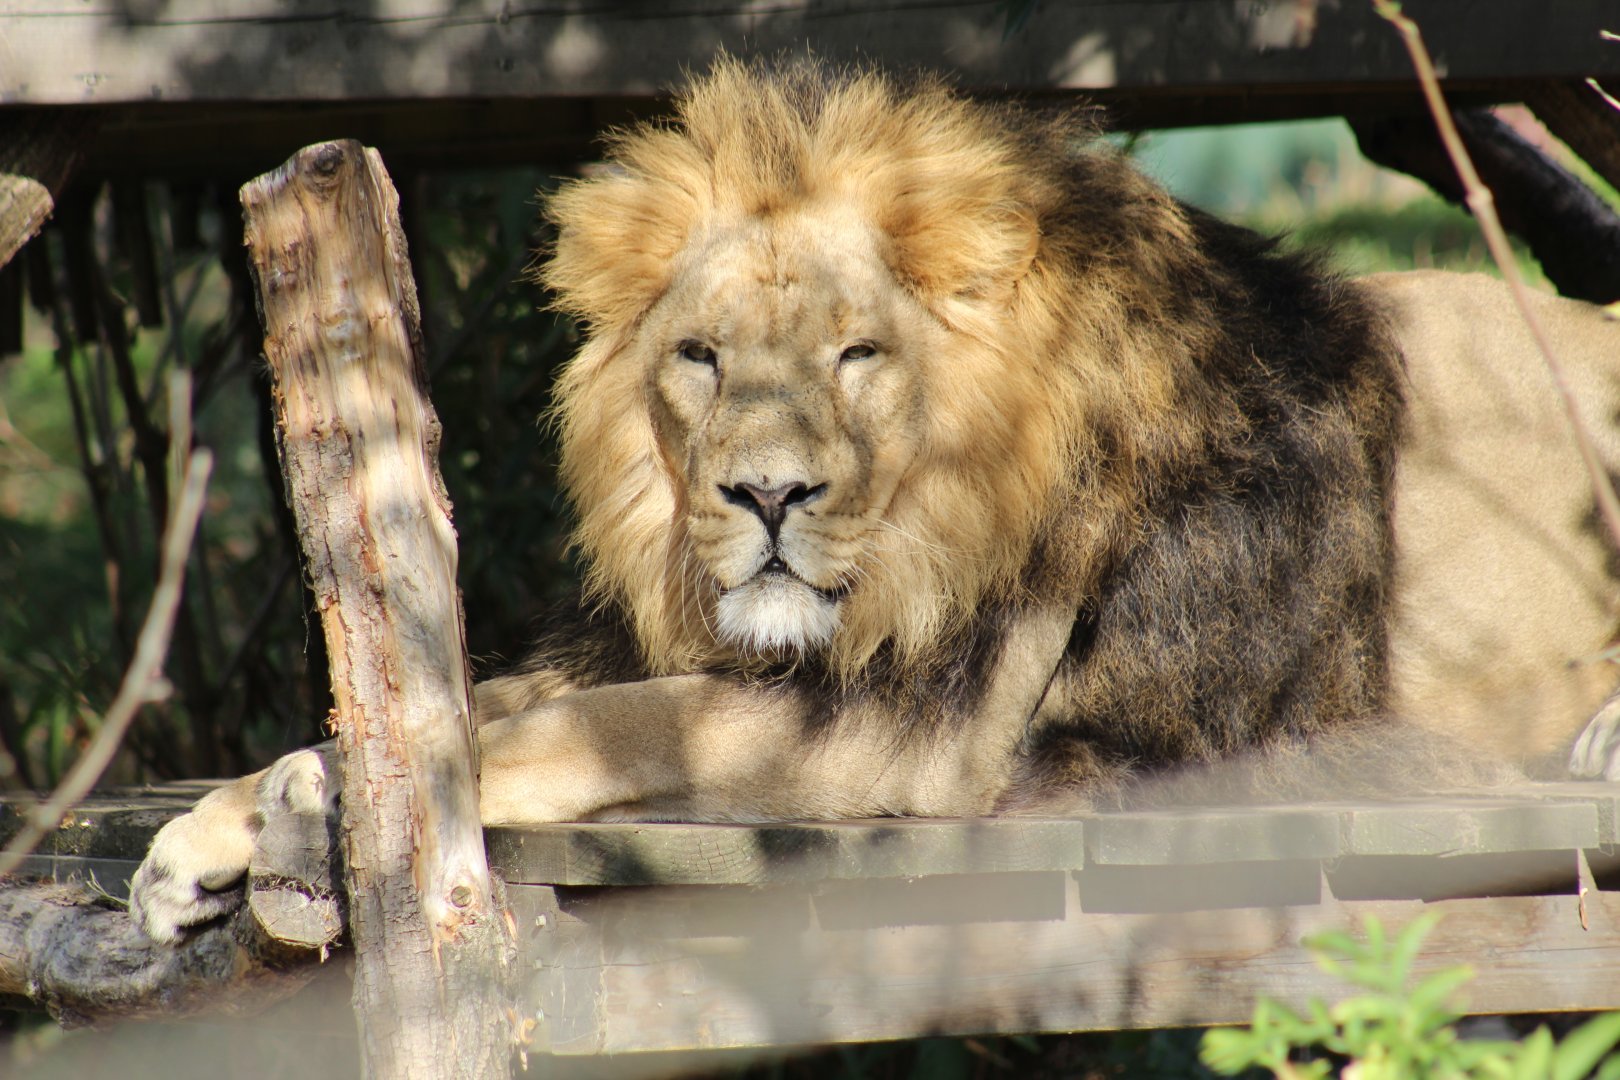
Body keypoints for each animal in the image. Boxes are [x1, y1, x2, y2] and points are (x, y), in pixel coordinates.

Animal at [130, 60, 1620, 943]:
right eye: (701, 356)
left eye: (858, 354)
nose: (767, 494)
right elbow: (474, 706)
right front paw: (220, 826)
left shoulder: (932, 733)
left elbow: (601, 724)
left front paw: (320, 800)